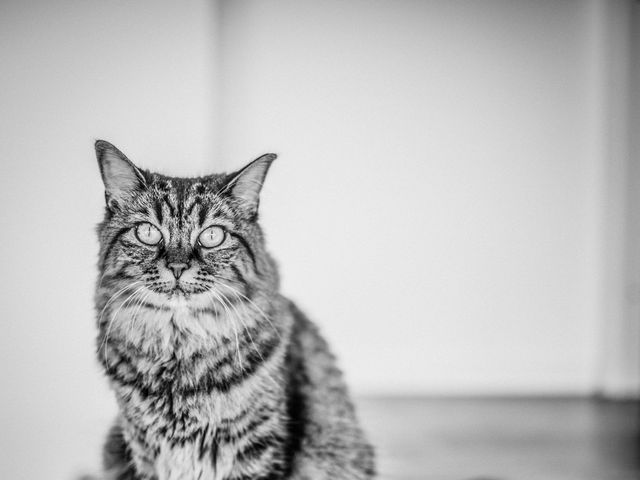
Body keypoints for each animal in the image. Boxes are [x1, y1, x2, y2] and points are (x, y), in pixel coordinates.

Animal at [91, 142, 376, 480]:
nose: (177, 266)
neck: (179, 353)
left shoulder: (257, 450)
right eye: (147, 232)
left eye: (212, 236)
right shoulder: (143, 451)